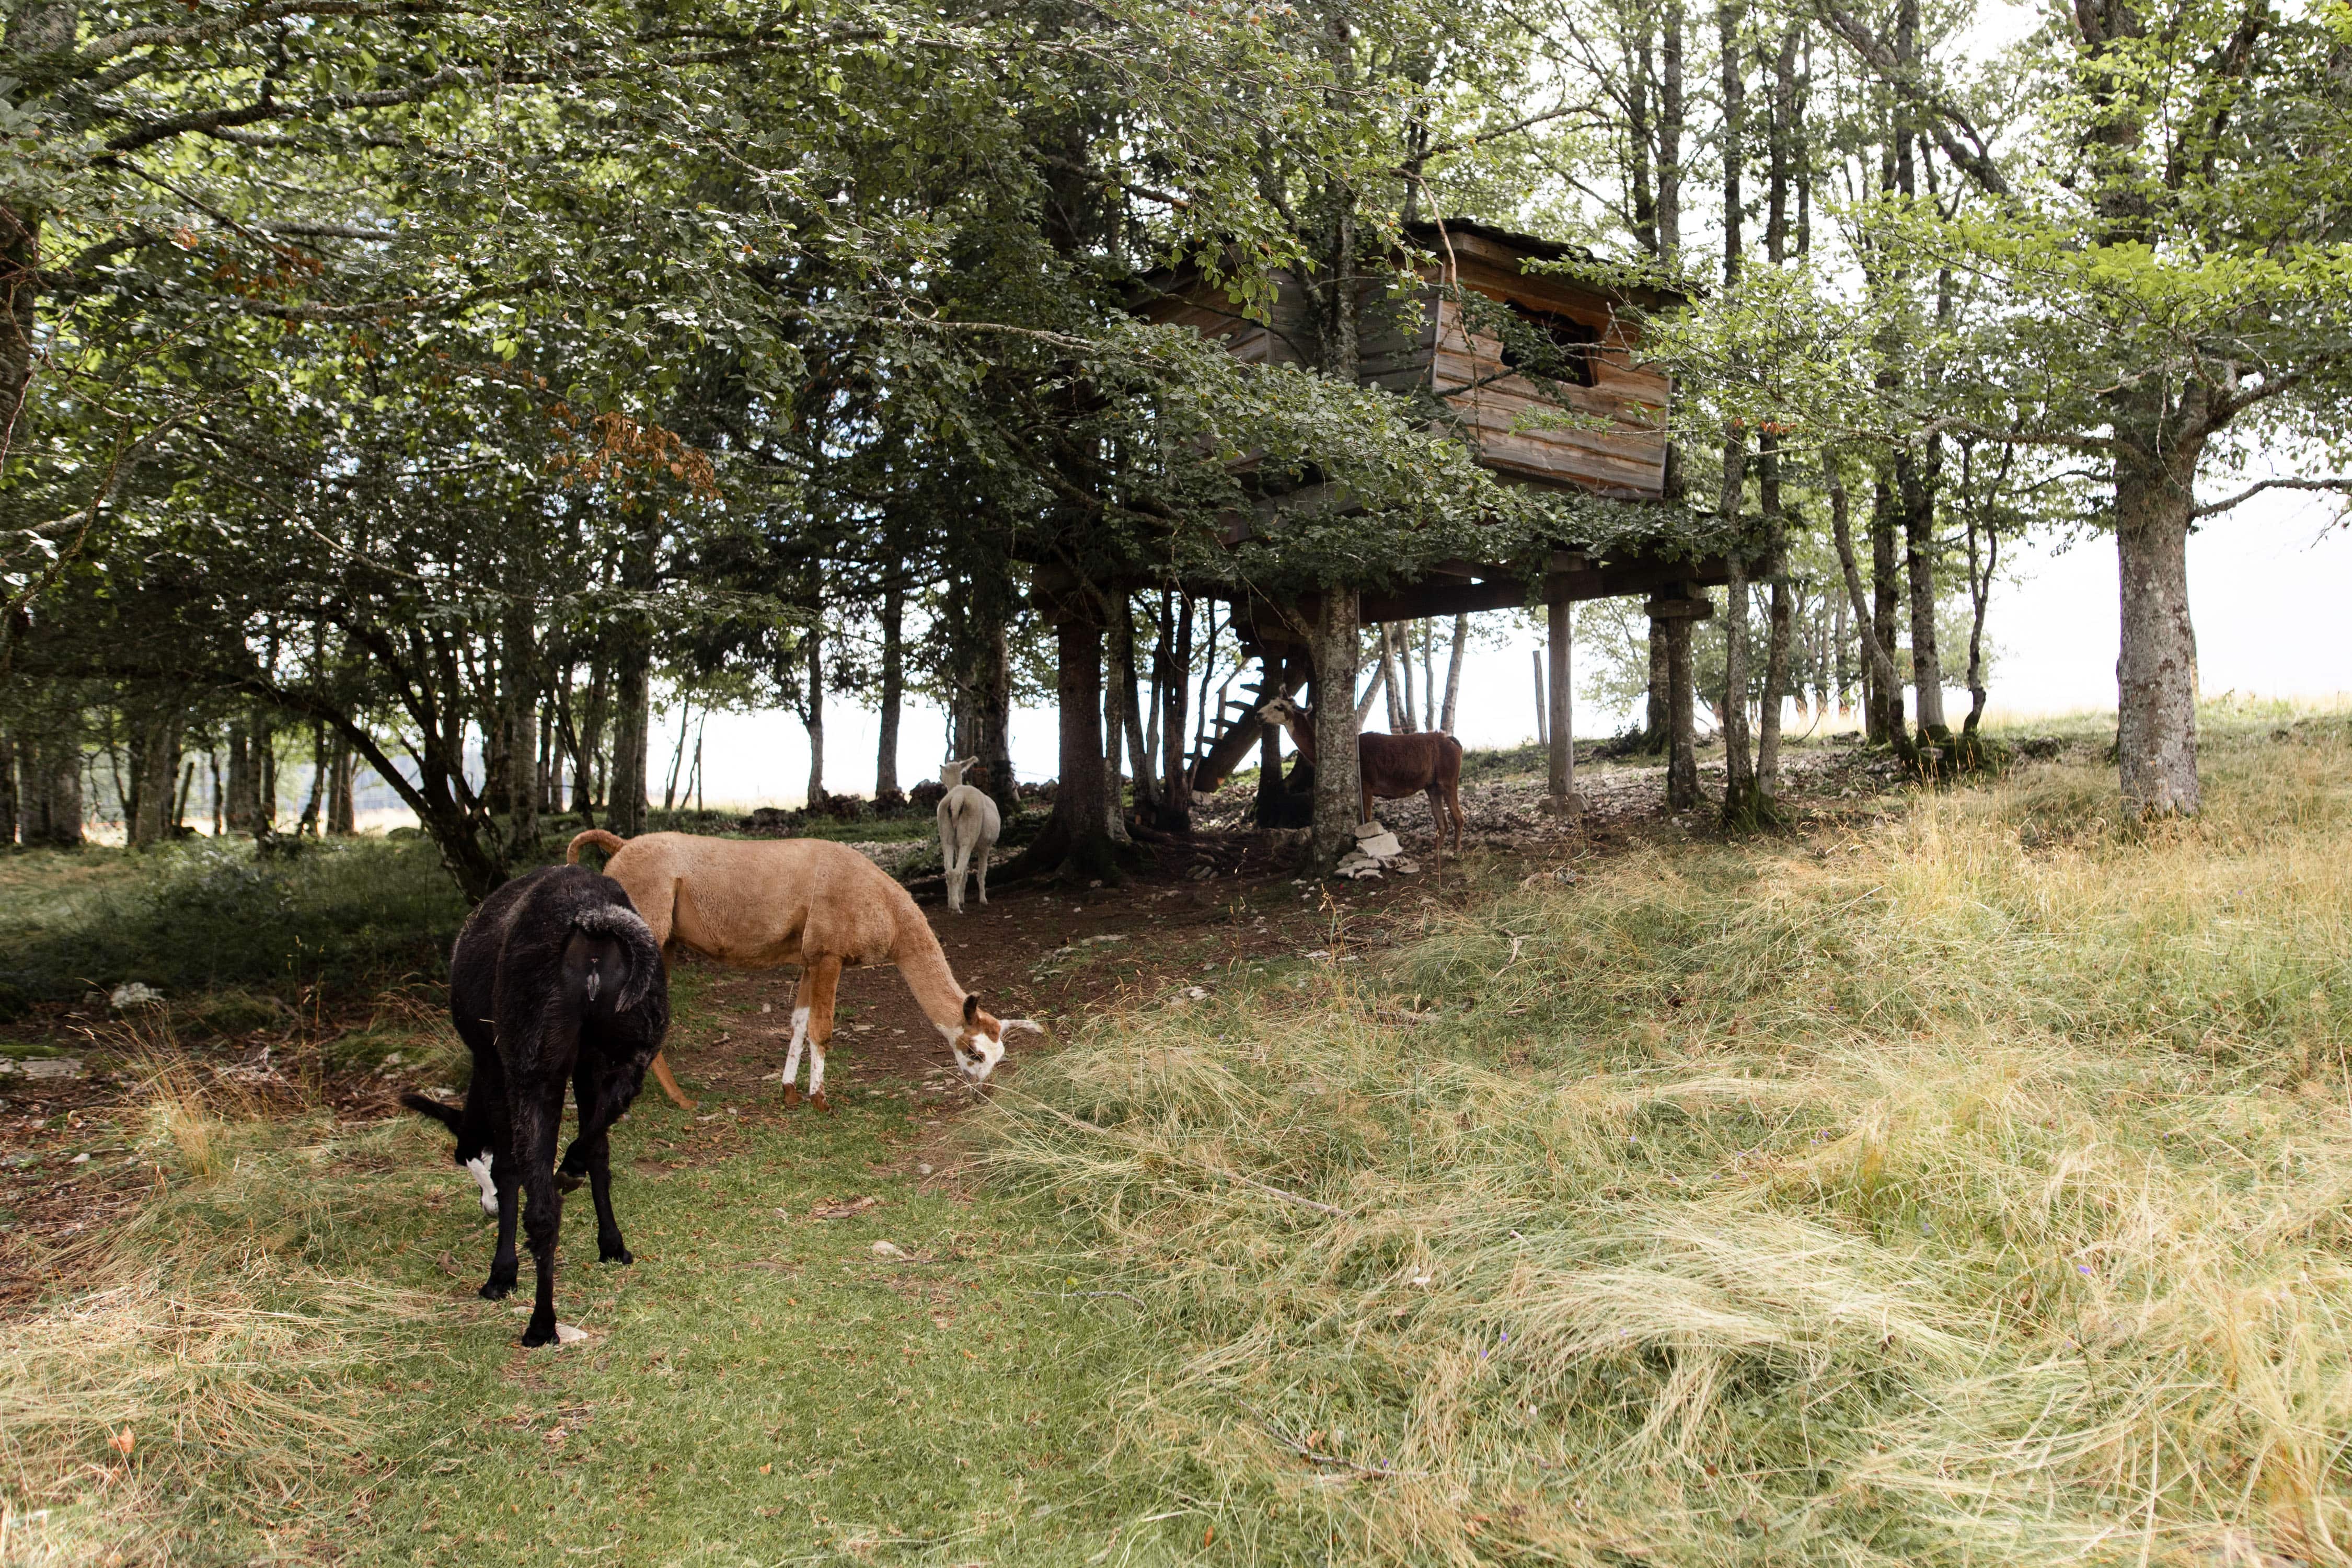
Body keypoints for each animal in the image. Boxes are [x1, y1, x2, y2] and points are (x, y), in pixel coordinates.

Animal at [401, 864, 667, 1347]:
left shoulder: (492, 1063)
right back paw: (572, 1167)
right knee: (612, 1109)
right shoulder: (586, 1062)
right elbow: (601, 1153)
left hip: (532, 1059)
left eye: (470, 1159)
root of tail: (593, 924)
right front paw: (612, 1243)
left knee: (542, 1209)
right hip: (633, 1039)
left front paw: (502, 1274)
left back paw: (541, 1324)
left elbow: (508, 1168)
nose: (485, 1209)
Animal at [566, 829, 1038, 1112]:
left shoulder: (811, 957)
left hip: (659, 942)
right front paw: (821, 1101)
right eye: (975, 1052)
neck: (885, 910)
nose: (986, 1093)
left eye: (1000, 1056)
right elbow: (823, 1029)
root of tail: (621, 846)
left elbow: (798, 1022)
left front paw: (790, 1091)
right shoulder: (829, 953)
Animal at [935, 757, 1001, 915]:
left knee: (950, 871)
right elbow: (981, 873)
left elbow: (967, 874)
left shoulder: (958, 846)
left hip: (947, 837)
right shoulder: (985, 846)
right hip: (969, 837)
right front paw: (983, 900)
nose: (939, 777)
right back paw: (956, 908)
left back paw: (952, 904)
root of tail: (956, 799)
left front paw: (962, 900)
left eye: (941, 772)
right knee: (958, 871)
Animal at [1259, 696, 1466, 856]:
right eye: (1269, 702)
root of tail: (1451, 741)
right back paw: (1435, 852)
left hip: (1448, 779)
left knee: (1458, 817)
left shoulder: (1366, 784)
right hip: (1432, 786)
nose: (1258, 715)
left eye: (1279, 706)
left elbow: (1366, 819)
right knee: (1442, 822)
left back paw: (1456, 851)